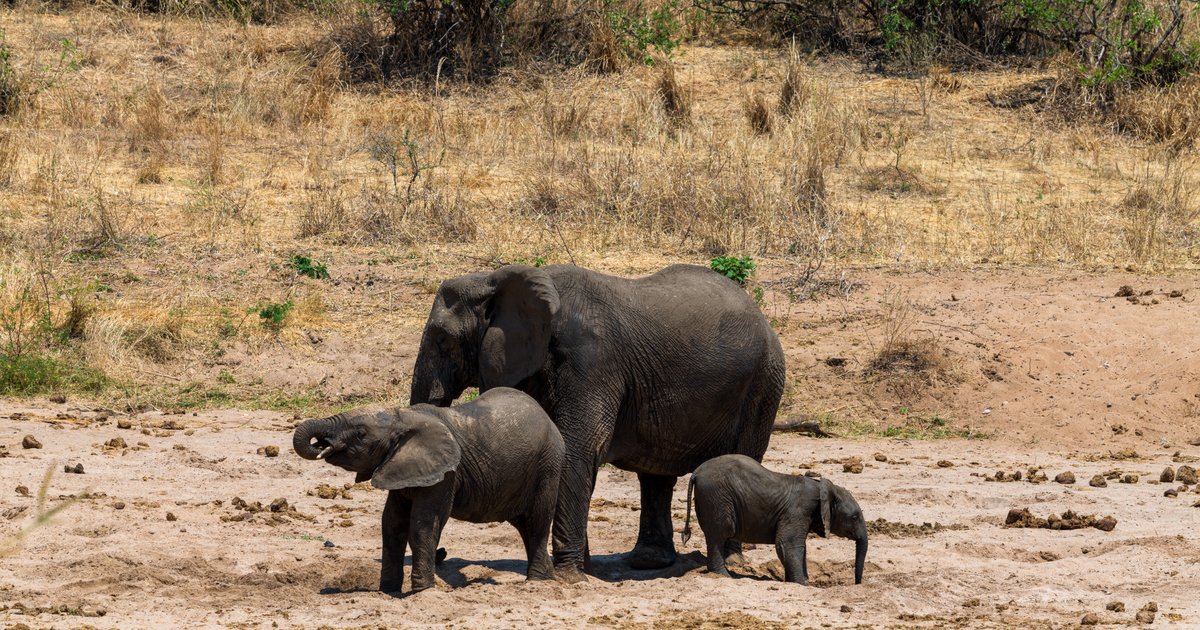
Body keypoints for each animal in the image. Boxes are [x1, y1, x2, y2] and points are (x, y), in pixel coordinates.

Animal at [292, 387, 564, 594]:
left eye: (360, 434)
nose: (322, 444)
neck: (403, 416)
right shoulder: (401, 467)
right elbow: (392, 524)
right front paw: (387, 591)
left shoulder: (446, 473)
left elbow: (423, 525)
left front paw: (422, 591)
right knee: (525, 526)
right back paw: (548, 579)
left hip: (548, 466)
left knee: (538, 522)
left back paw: (536, 583)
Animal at [408, 263, 786, 581]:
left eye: (443, 340)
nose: (443, 555)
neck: (497, 278)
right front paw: (581, 570)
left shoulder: (591, 361)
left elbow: (576, 448)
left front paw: (568, 577)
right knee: (655, 474)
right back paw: (649, 561)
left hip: (763, 384)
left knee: (739, 457)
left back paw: (733, 562)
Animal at [681, 454, 868, 585]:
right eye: (854, 517)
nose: (857, 583)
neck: (822, 487)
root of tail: (696, 473)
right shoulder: (797, 511)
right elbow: (788, 544)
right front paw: (802, 583)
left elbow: (799, 547)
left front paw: (797, 581)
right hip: (716, 498)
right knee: (719, 533)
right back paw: (724, 576)